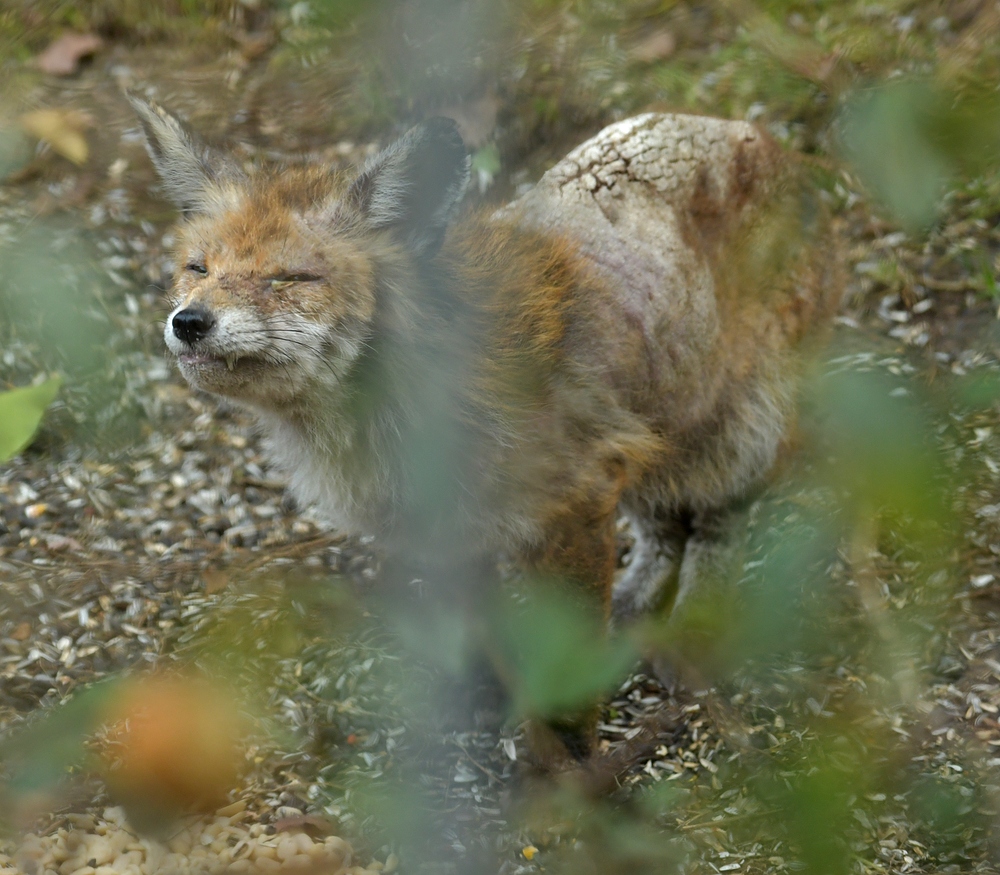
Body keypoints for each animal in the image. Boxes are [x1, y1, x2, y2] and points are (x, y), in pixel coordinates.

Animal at [129, 97, 840, 760]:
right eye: (198, 268)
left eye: (290, 278)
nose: (189, 322)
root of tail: (761, 136)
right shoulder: (459, 533)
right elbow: (477, 634)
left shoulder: (579, 497)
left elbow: (569, 666)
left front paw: (570, 765)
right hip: (651, 432)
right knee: (665, 527)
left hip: (732, 435)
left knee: (719, 521)